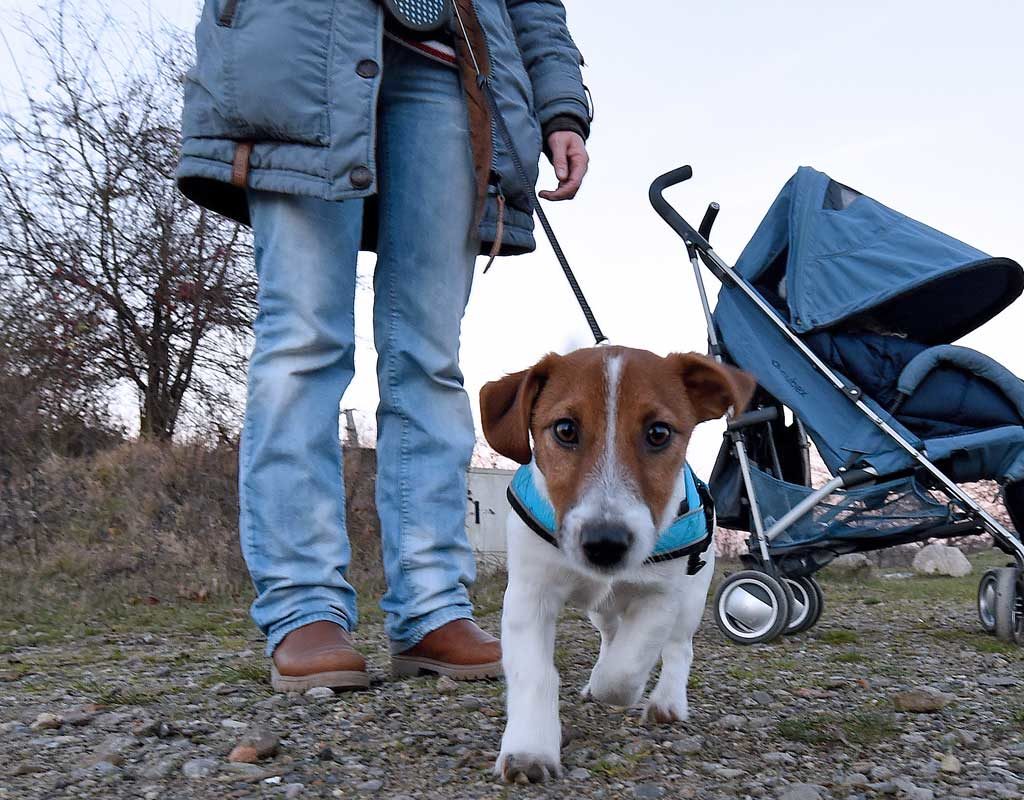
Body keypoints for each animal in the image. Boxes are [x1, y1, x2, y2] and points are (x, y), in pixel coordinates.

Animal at [477, 344, 753, 778]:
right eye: (565, 429)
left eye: (658, 433)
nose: (605, 543)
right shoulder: (529, 595)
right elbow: (535, 674)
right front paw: (530, 749)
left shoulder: (660, 597)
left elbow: (625, 670)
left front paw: (619, 690)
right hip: (600, 611)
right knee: (610, 634)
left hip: (692, 597)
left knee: (678, 648)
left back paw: (667, 701)